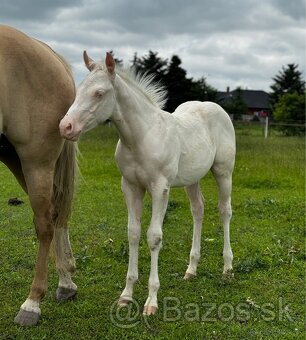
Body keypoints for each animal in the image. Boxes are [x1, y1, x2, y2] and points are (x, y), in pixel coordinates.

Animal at [0, 25, 79, 326]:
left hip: (36, 161)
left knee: (45, 223)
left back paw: (32, 303)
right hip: (13, 156)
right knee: (55, 214)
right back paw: (66, 283)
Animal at [59, 51, 237, 316]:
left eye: (99, 93)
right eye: (79, 90)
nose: (65, 127)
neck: (140, 137)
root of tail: (215, 108)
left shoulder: (159, 188)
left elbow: (154, 237)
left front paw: (151, 300)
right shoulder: (130, 186)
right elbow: (133, 233)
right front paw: (126, 295)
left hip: (223, 171)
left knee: (224, 211)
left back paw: (227, 269)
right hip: (192, 178)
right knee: (198, 210)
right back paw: (191, 269)